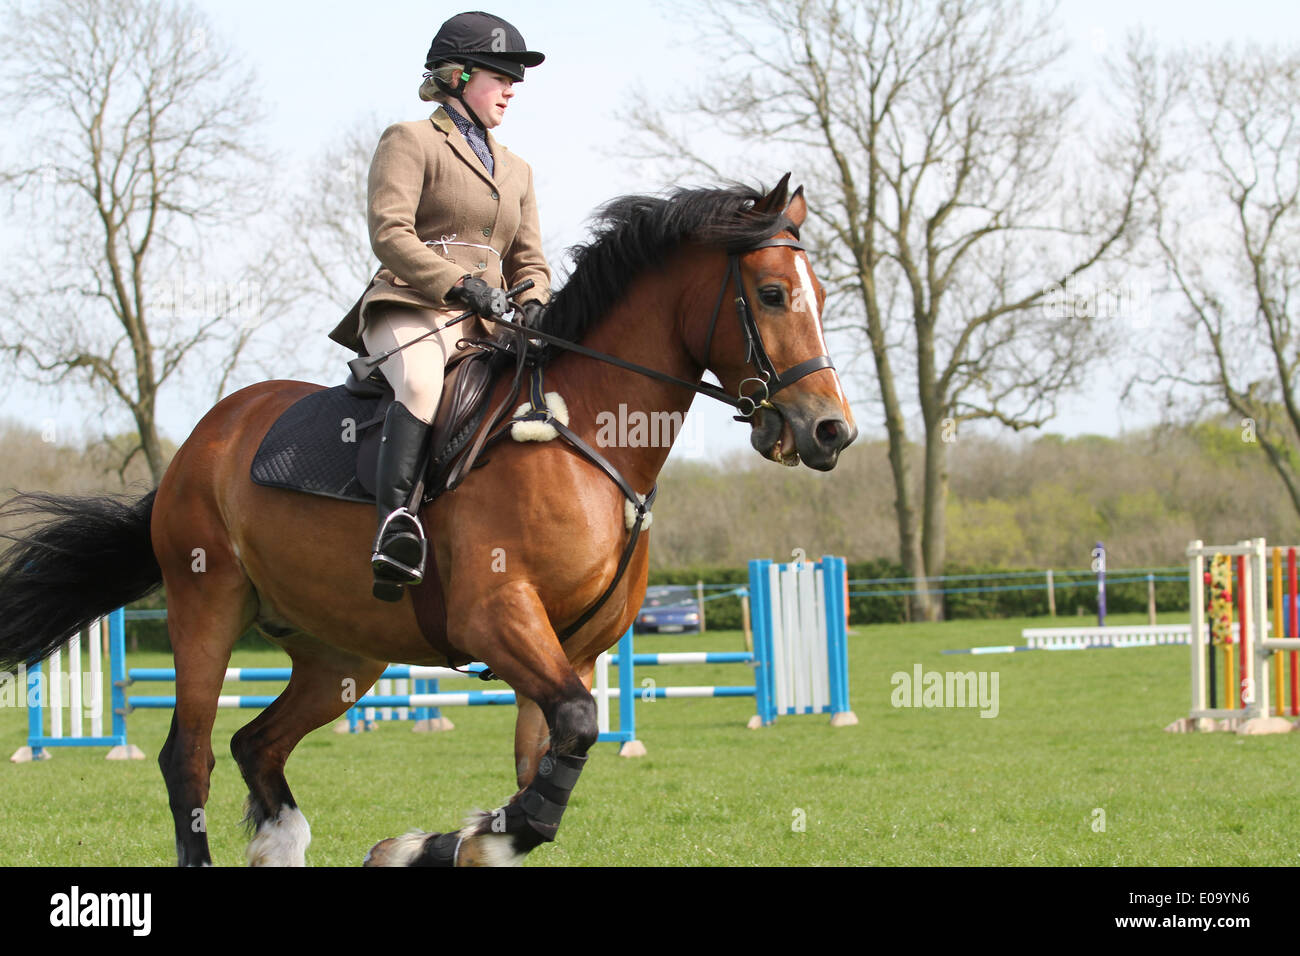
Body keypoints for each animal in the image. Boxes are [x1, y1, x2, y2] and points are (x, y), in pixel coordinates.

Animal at [0, 174, 856, 866]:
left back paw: (284, 842)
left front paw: (440, 844)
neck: (585, 434)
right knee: (191, 757)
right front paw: (433, 844)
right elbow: (568, 743)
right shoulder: (497, 618)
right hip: (204, 605)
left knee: (257, 743)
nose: (830, 432)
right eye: (773, 294)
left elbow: (545, 783)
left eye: (819, 296)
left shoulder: (571, 653)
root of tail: (201, 441)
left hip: (342, 655)